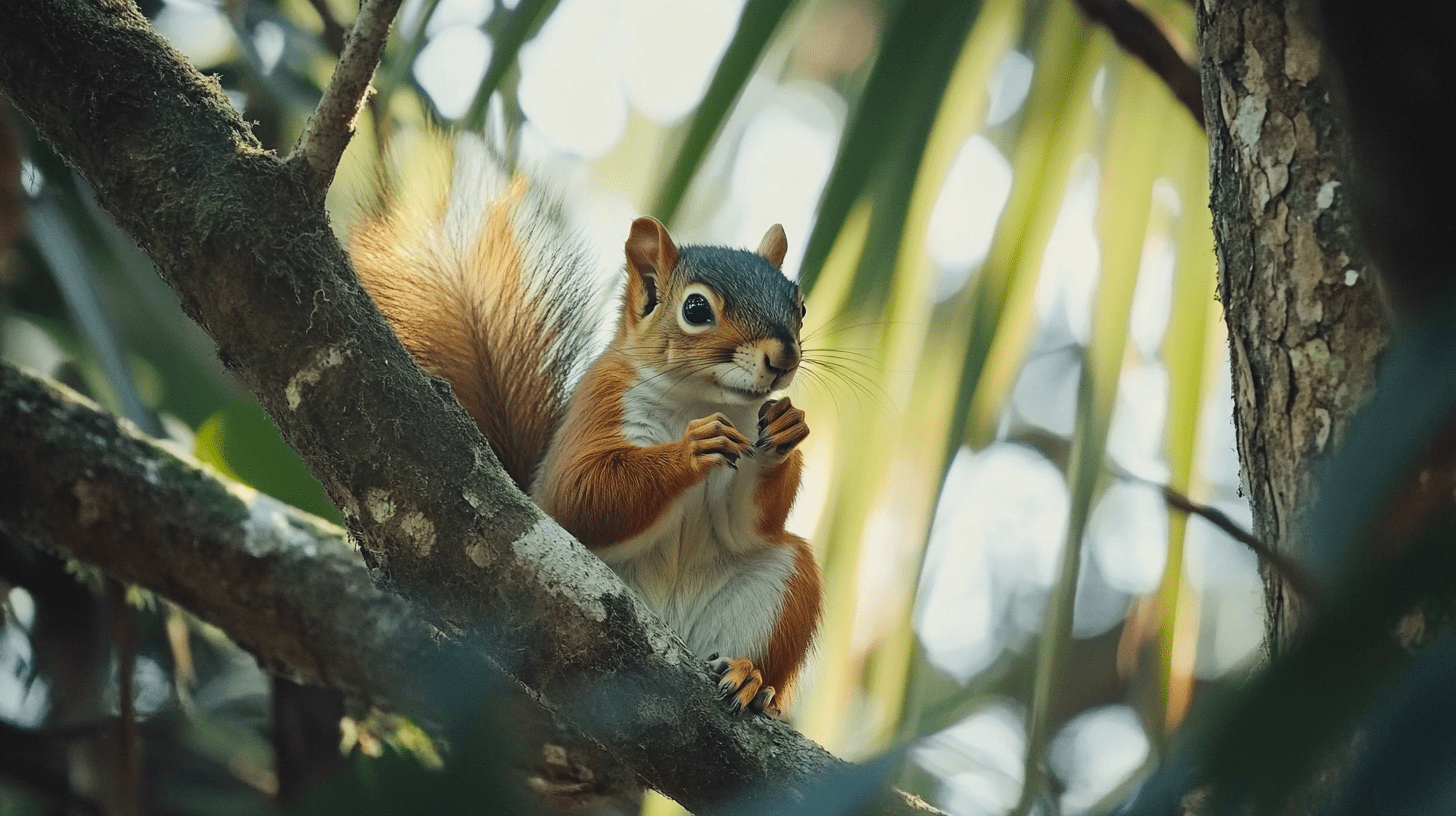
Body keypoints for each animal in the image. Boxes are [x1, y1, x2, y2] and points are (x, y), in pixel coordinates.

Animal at [343, 151, 821, 714]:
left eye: (799, 305)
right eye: (696, 309)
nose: (783, 356)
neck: (701, 400)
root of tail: (674, 635)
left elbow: (745, 524)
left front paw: (788, 426)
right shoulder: (601, 405)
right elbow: (581, 495)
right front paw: (691, 449)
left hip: (777, 585)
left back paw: (748, 676)